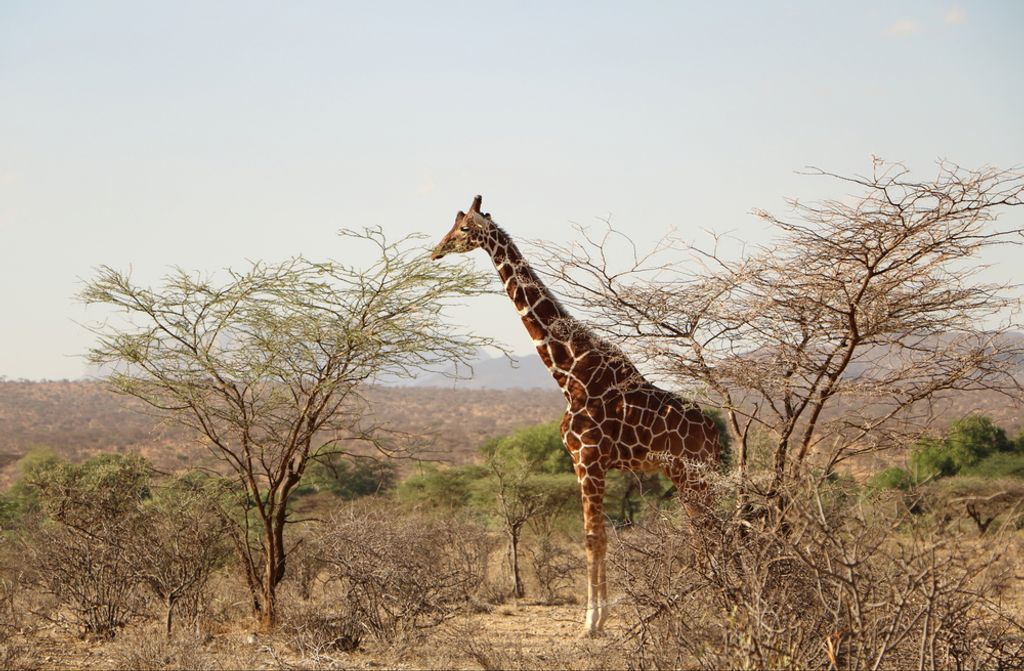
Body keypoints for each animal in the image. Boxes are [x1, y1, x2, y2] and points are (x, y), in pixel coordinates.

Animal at [432, 195, 720, 636]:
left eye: (463, 228)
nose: (436, 250)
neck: (569, 371)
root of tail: (715, 432)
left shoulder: (588, 458)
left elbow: (592, 537)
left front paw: (592, 621)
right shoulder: (582, 461)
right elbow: (599, 535)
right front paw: (599, 616)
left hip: (692, 472)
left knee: (707, 528)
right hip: (686, 473)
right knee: (706, 528)